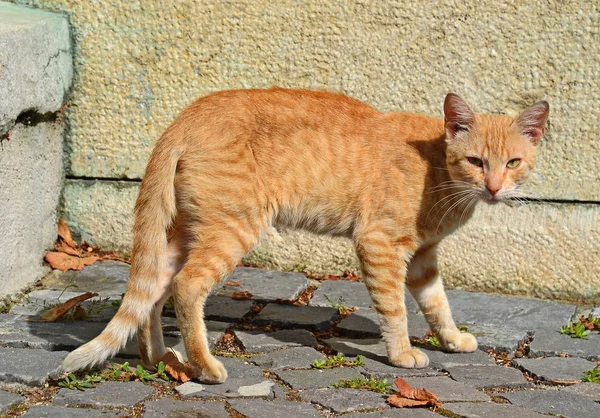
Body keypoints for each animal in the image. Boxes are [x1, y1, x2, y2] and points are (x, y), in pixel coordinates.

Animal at [61, 88, 548, 382]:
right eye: (476, 161)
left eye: (512, 163)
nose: (494, 188)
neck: (438, 172)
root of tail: (186, 116)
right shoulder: (379, 245)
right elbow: (395, 310)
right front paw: (401, 353)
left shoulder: (424, 258)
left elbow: (437, 305)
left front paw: (452, 340)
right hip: (231, 229)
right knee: (186, 287)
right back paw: (205, 365)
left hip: (187, 234)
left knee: (152, 293)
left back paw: (158, 358)